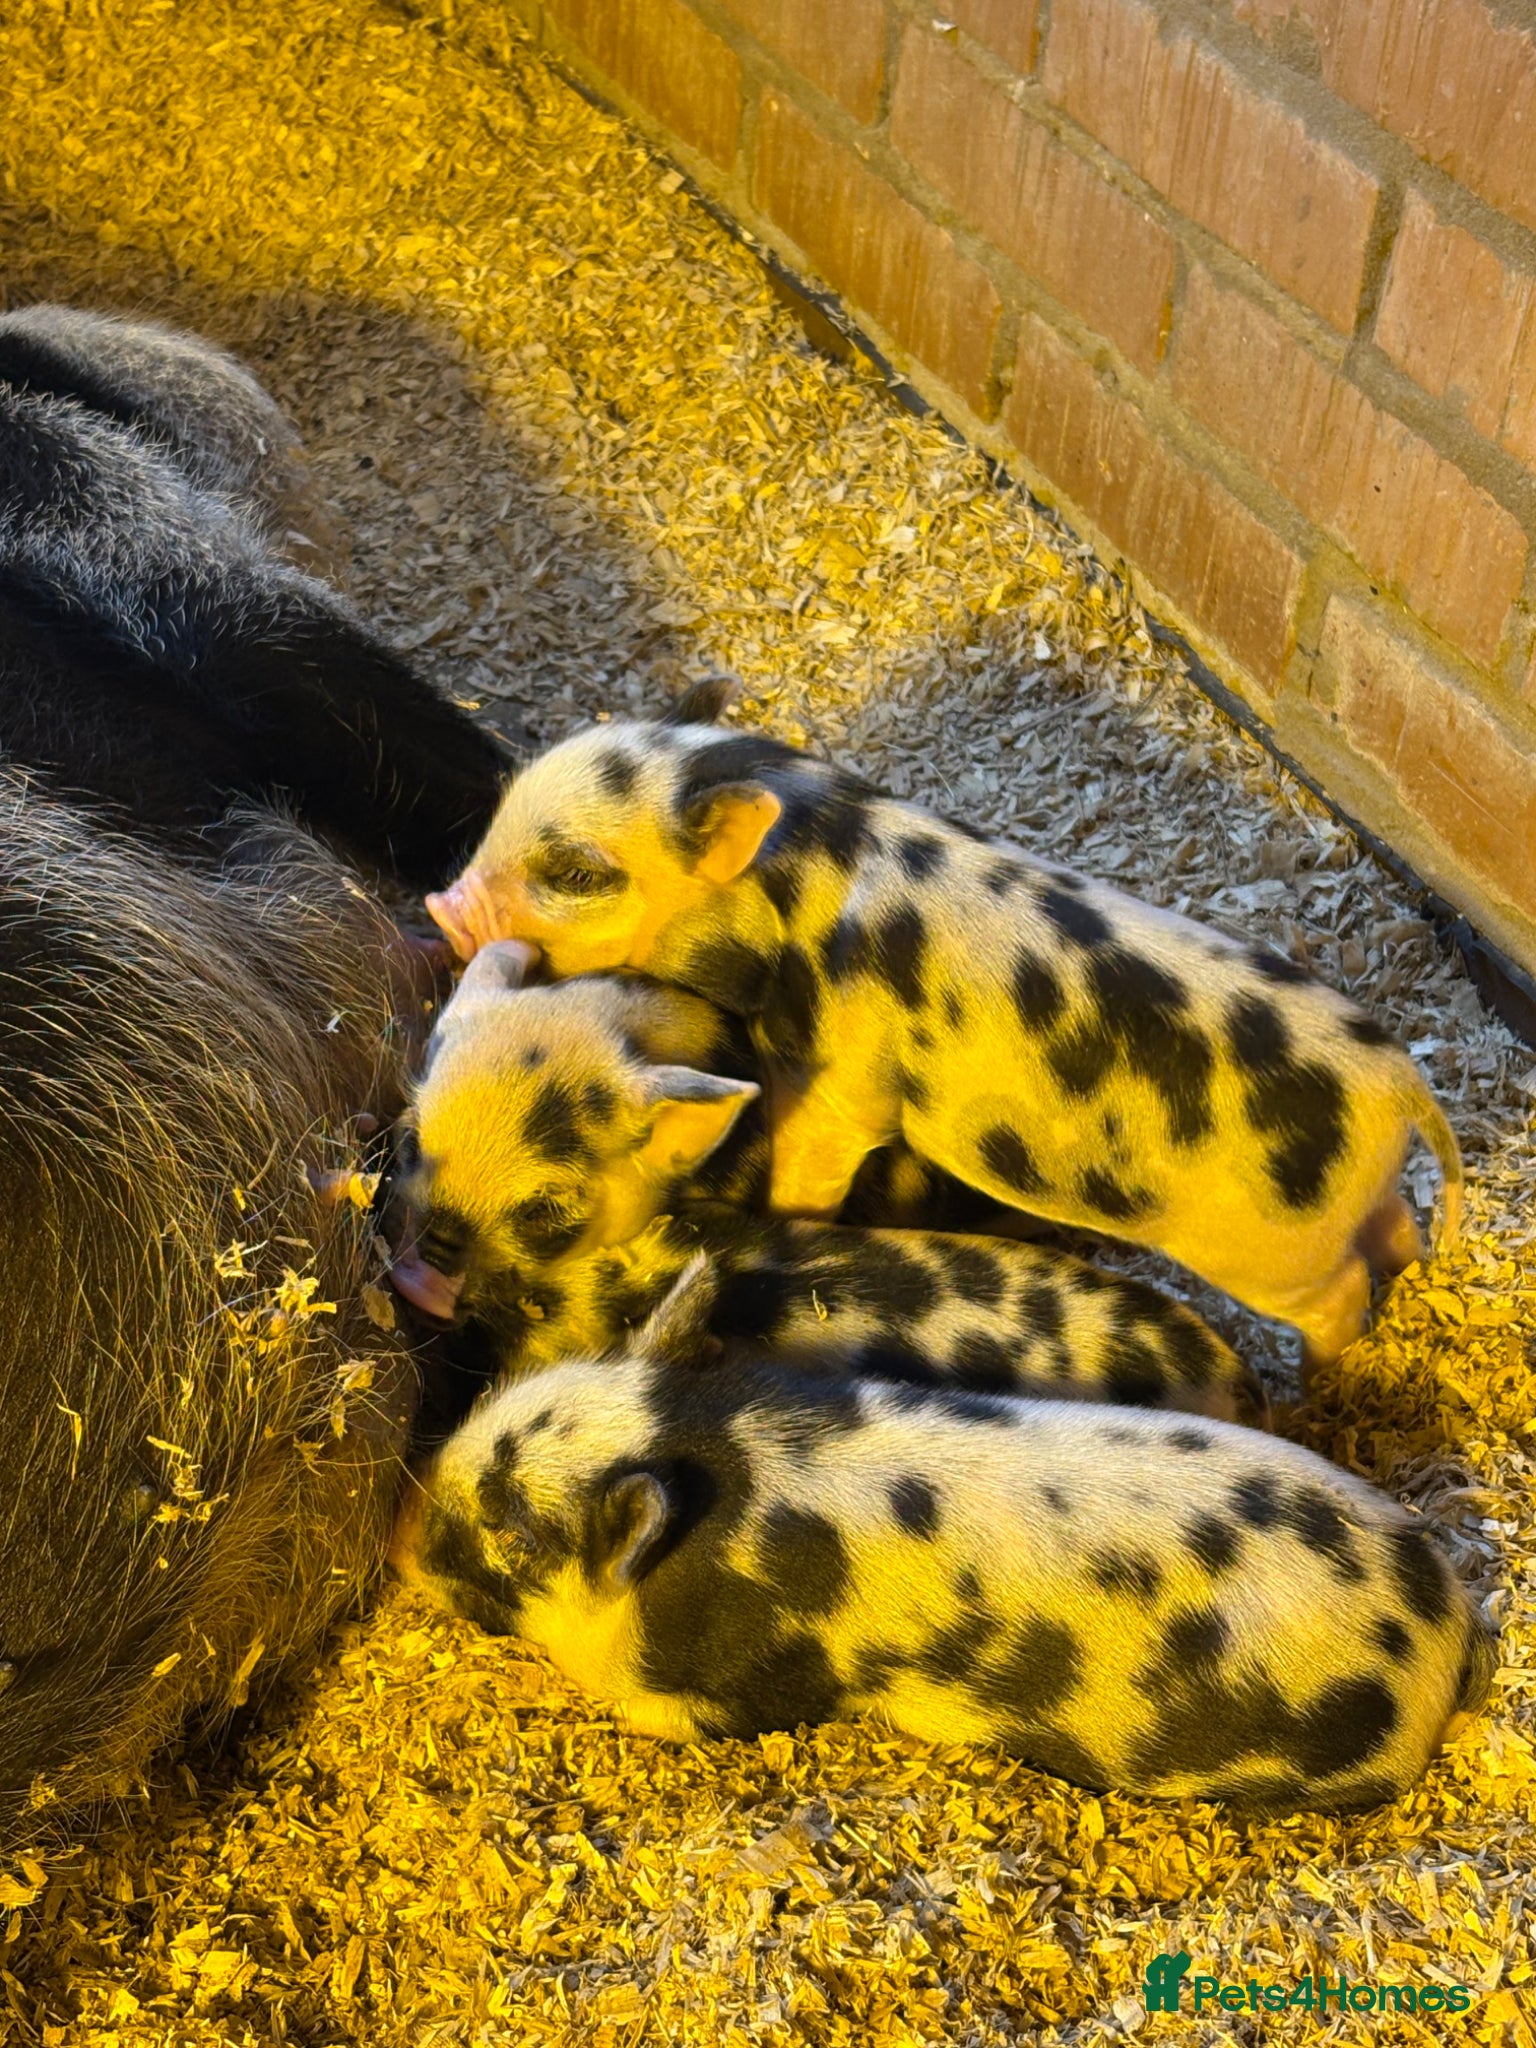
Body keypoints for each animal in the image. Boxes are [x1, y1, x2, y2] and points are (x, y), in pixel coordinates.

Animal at [426, 691, 1462, 1365]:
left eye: (576, 873)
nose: (441, 906)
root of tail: (1405, 1088)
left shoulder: (841, 1081)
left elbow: (814, 1161)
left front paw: (790, 1219)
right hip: (1358, 1208)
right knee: (1398, 1232)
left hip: (1279, 1258)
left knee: (1342, 1298)